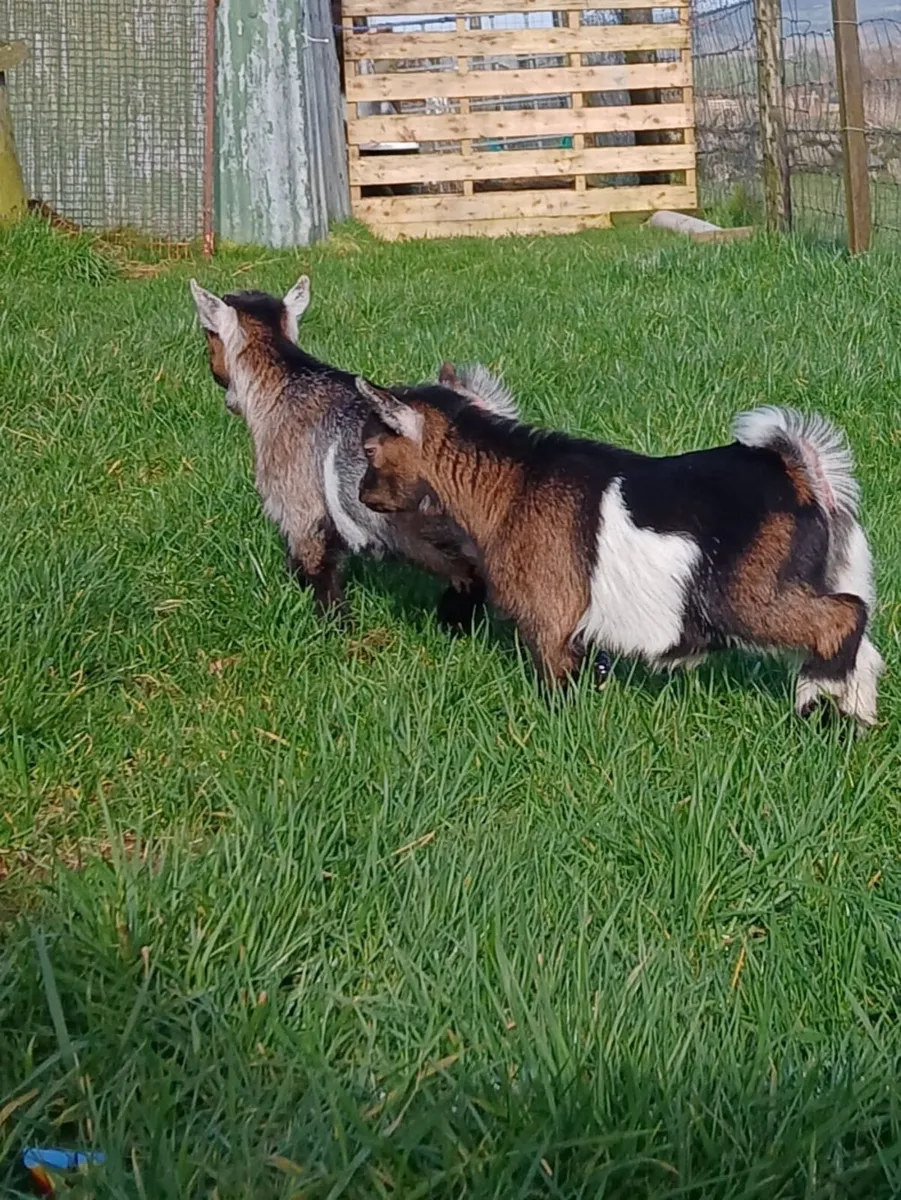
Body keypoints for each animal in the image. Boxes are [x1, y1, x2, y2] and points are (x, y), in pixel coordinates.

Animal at [189, 275, 519, 629]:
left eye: (208, 334)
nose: (216, 372)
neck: (282, 383)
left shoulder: (298, 503)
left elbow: (317, 565)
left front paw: (331, 624)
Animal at [355, 379, 883, 727]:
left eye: (370, 449)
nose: (362, 495)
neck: (513, 485)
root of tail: (799, 475)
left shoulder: (550, 620)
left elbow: (557, 686)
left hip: (748, 596)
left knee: (844, 616)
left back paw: (815, 695)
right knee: (865, 649)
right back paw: (851, 721)